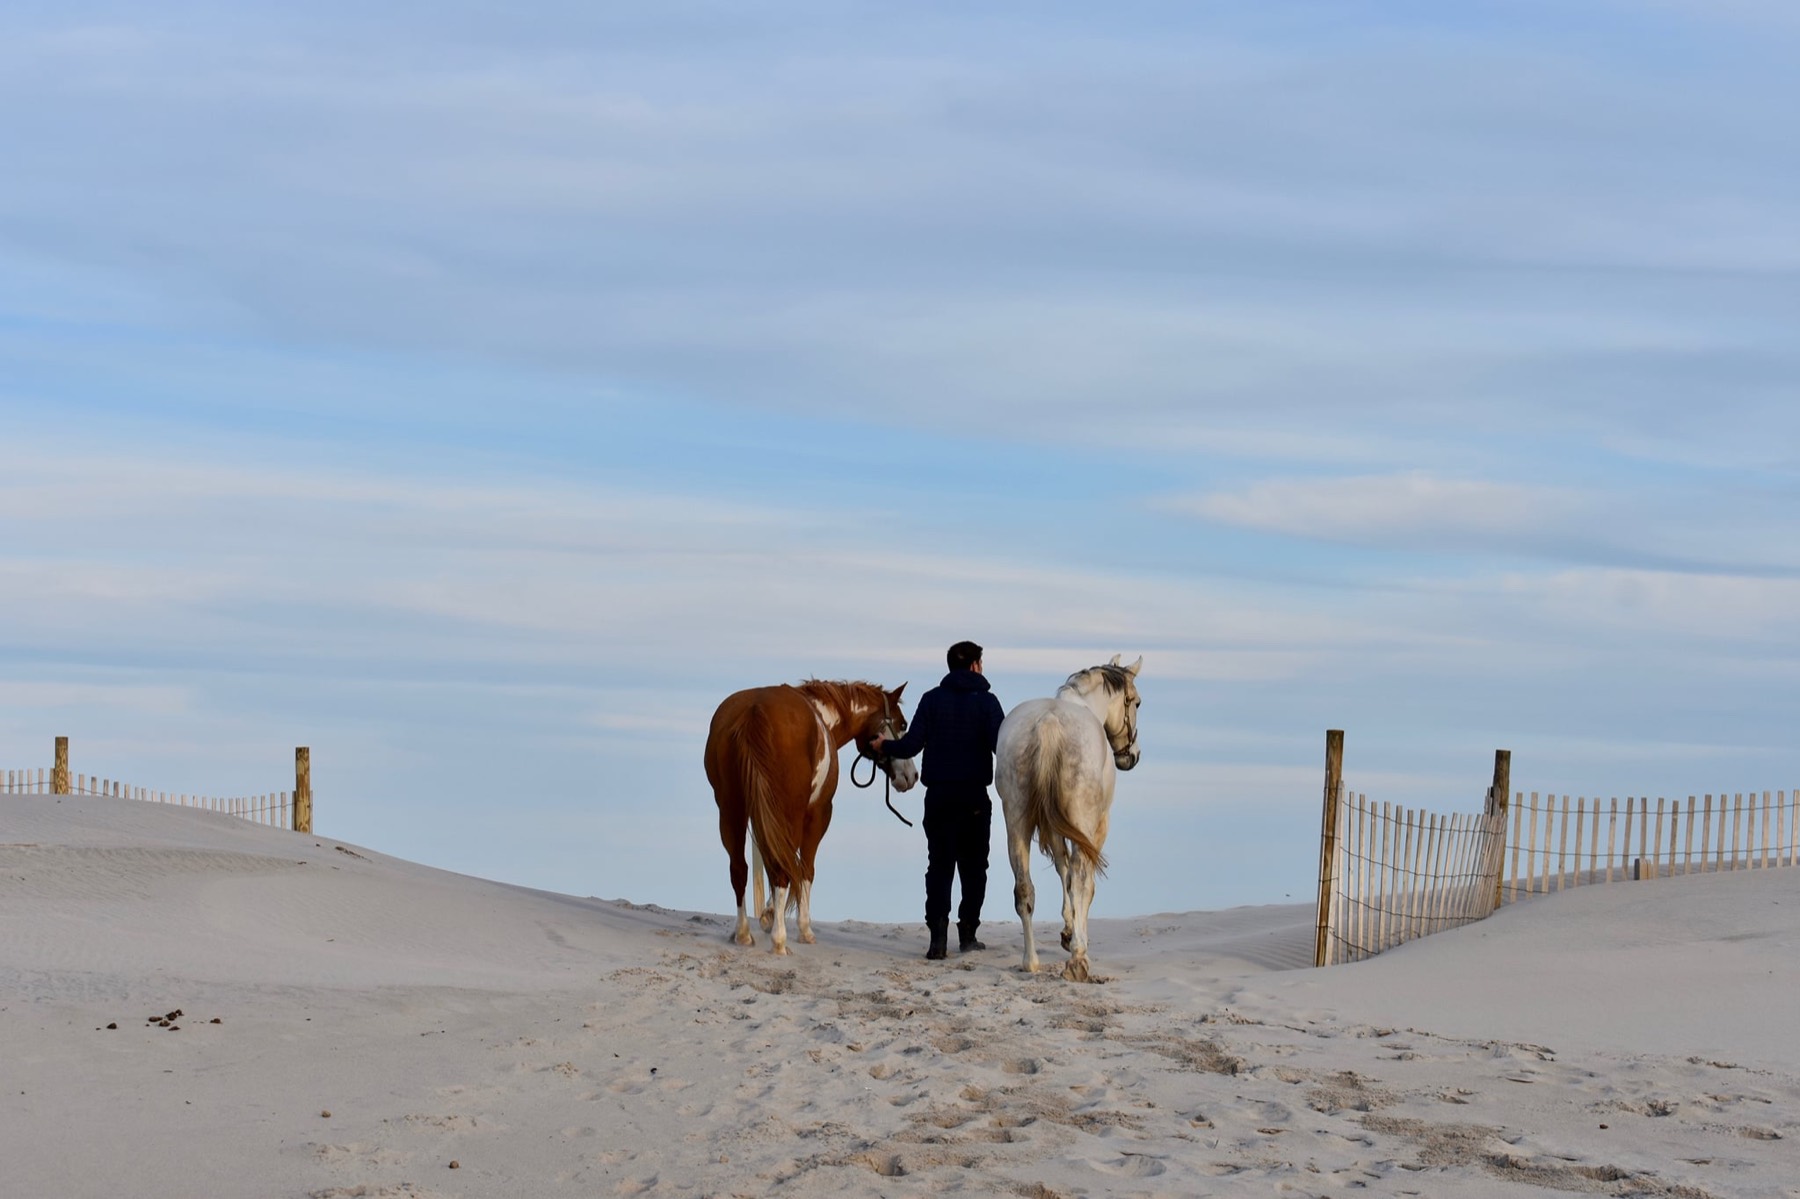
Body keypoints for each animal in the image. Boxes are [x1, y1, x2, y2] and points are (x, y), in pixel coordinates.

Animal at [705, 680, 918, 954]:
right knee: (782, 870)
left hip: (732, 810)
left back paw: (742, 933)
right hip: (787, 812)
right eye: (903, 724)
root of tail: (755, 710)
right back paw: (779, 940)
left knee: (740, 869)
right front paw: (801, 928)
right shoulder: (818, 814)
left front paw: (768, 914)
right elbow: (804, 868)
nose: (912, 775)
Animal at [994, 654, 1142, 981]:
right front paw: (1075, 937)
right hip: (1082, 821)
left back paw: (1031, 961)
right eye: (1136, 703)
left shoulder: (1054, 826)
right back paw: (1078, 959)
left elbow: (1063, 869)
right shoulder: (1096, 827)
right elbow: (1082, 880)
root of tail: (1048, 722)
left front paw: (1067, 928)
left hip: (1017, 822)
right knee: (1080, 874)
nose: (1132, 756)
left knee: (1024, 887)